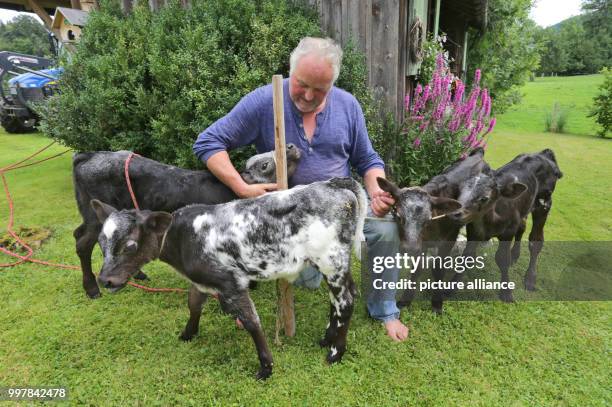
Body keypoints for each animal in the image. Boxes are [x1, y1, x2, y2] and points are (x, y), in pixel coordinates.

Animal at [72, 145, 302, 298]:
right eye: (264, 165)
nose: (290, 146)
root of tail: (91, 154)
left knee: (77, 233)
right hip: (96, 217)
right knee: (83, 243)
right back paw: (92, 289)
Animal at [89, 177, 366, 380]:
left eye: (130, 245)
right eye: (101, 243)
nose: (105, 280)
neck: (183, 237)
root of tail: (332, 184)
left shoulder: (230, 283)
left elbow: (251, 322)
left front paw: (266, 367)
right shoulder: (202, 280)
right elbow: (194, 304)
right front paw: (187, 334)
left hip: (331, 259)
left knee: (346, 300)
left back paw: (335, 352)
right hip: (332, 263)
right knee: (340, 297)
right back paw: (327, 338)